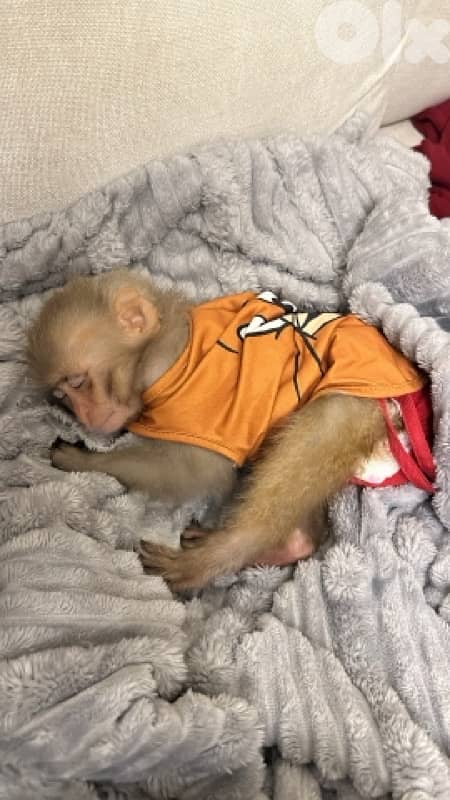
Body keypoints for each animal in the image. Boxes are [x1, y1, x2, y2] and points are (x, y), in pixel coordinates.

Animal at [26, 269, 435, 590]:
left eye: (78, 382)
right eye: (62, 396)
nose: (86, 417)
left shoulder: (182, 391)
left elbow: (196, 472)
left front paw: (83, 460)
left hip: (354, 406)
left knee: (308, 443)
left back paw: (220, 554)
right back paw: (294, 544)